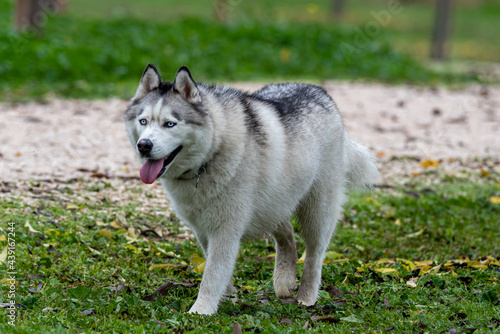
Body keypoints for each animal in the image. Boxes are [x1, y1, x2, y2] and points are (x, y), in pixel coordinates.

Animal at [125, 64, 378, 314]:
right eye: (143, 121)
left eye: (170, 124)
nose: (143, 145)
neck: (211, 153)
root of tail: (320, 91)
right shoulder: (203, 230)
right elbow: (218, 272)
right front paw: (227, 299)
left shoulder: (225, 230)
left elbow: (212, 275)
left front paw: (201, 310)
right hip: (273, 202)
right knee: (287, 233)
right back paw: (284, 279)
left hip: (317, 211)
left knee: (314, 255)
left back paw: (306, 296)